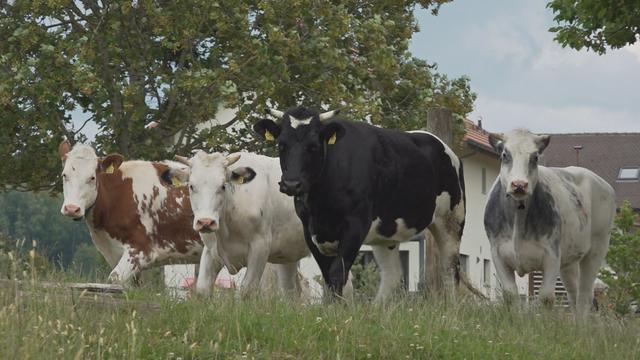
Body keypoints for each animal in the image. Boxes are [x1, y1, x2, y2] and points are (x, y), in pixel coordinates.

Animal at [169, 150, 312, 296]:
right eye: (191, 186)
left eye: (223, 186)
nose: (206, 222)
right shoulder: (210, 249)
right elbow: (202, 289)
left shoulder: (261, 246)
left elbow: (247, 289)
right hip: (287, 254)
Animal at [252, 107, 468, 300]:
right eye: (282, 145)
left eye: (313, 146)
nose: (291, 184)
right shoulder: (310, 230)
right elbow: (328, 276)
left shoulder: (356, 225)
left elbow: (337, 273)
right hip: (386, 233)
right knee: (391, 275)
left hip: (452, 220)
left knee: (450, 270)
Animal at [484, 129, 616, 316]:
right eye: (504, 154)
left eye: (535, 157)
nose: (519, 184)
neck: (518, 214)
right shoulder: (498, 254)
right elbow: (510, 295)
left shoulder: (552, 255)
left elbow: (546, 298)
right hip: (570, 261)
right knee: (573, 294)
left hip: (597, 248)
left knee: (585, 296)